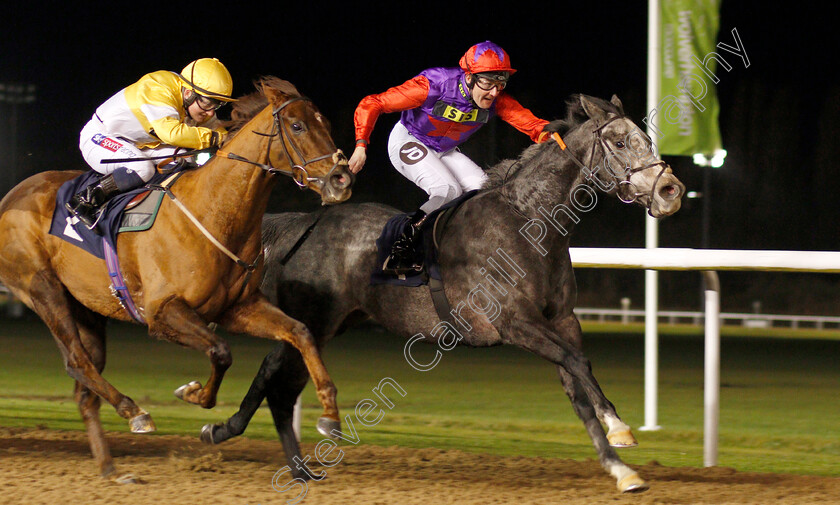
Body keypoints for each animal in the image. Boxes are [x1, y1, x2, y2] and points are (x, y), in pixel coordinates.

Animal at [0, 76, 352, 480]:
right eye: (297, 126)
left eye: (326, 123)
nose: (342, 178)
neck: (214, 211)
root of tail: (11, 197)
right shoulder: (163, 314)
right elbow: (221, 351)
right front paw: (194, 393)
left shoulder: (239, 308)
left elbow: (301, 332)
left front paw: (329, 415)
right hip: (43, 289)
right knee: (76, 362)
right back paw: (134, 412)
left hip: (87, 309)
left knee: (84, 387)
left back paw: (111, 469)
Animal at [202, 95, 684, 492]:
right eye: (620, 142)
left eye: (646, 138)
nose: (671, 191)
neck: (529, 223)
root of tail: (307, 221)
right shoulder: (516, 323)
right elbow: (578, 363)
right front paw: (620, 427)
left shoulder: (561, 319)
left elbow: (577, 385)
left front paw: (620, 469)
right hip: (316, 318)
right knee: (277, 376)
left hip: (329, 322)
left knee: (274, 370)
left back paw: (236, 435)